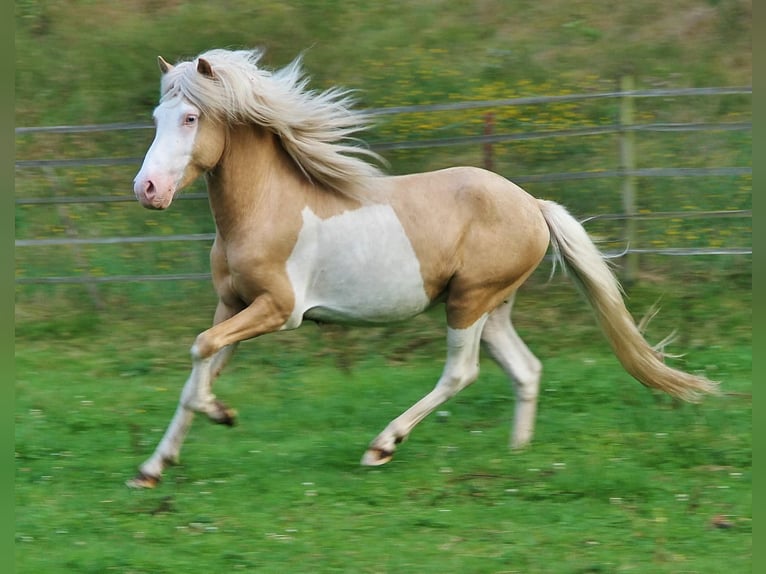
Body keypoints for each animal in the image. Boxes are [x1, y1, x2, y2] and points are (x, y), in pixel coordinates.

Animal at [128, 48, 718, 488]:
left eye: (190, 118)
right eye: (157, 119)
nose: (147, 190)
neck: (267, 208)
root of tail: (533, 204)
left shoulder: (278, 309)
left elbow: (200, 353)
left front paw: (221, 414)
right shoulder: (233, 304)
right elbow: (200, 364)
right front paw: (154, 467)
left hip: (468, 301)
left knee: (462, 371)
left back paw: (382, 446)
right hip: (492, 306)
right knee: (525, 369)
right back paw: (516, 454)